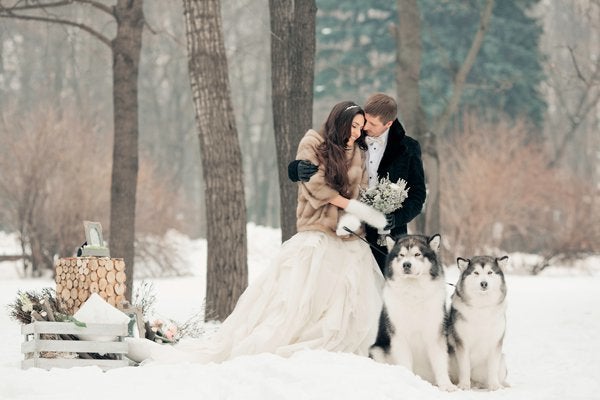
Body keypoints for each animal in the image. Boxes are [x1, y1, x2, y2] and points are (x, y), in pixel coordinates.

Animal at [368, 233, 458, 392]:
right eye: (401, 255)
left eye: (417, 254)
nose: (406, 265)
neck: (413, 293)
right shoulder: (399, 336)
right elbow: (405, 362)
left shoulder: (435, 334)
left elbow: (440, 363)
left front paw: (446, 385)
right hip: (376, 350)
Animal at [448, 256, 508, 390]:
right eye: (476, 273)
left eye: (490, 272)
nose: (484, 283)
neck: (482, 307)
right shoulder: (462, 342)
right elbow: (465, 367)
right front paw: (464, 385)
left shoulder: (495, 342)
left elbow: (493, 368)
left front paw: (495, 386)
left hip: (502, 362)